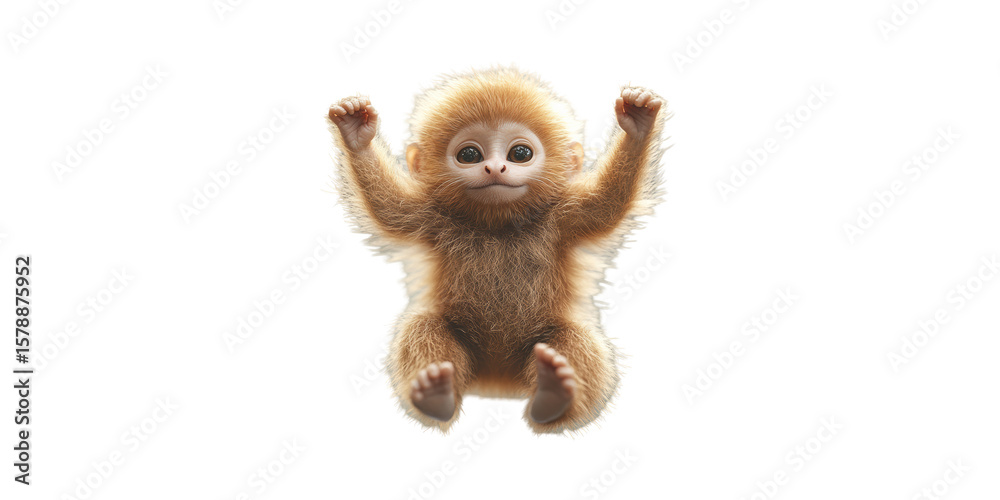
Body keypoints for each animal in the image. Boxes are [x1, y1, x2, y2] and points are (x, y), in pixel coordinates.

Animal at [328, 67, 667, 434]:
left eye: (520, 153)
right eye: (469, 155)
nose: (494, 168)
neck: (499, 227)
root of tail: (497, 381)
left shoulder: (565, 217)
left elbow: (609, 202)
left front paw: (638, 123)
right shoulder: (430, 218)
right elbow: (388, 207)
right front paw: (356, 134)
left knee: (575, 338)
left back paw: (554, 395)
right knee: (425, 326)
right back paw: (435, 394)